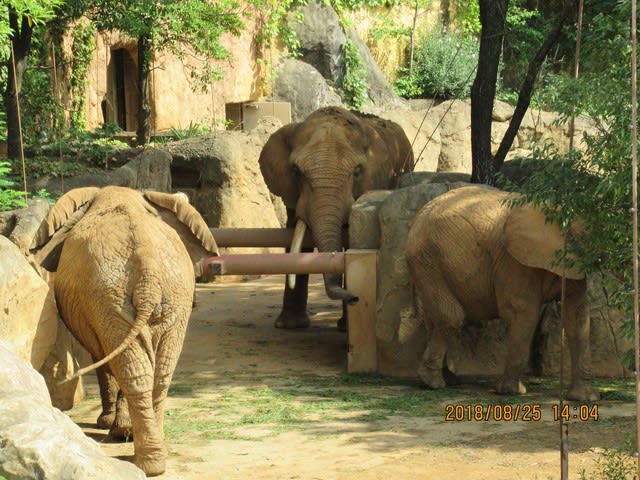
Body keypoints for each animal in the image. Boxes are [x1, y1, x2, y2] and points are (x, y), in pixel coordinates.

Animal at [35, 186, 220, 474]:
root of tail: (148, 273)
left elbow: (103, 359)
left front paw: (107, 424)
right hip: (162, 294)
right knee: (159, 372)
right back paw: (156, 455)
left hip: (112, 296)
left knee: (134, 369)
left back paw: (144, 458)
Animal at [260, 106, 416, 330]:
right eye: (296, 171)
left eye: (357, 171)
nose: (355, 298)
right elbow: (297, 239)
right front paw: (289, 326)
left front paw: (344, 327)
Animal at [404, 184, 600, 402]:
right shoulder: (514, 260)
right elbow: (522, 312)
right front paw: (511, 391)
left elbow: (577, 317)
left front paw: (585, 398)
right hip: (427, 259)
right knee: (450, 317)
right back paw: (434, 383)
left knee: (434, 319)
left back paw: (448, 380)